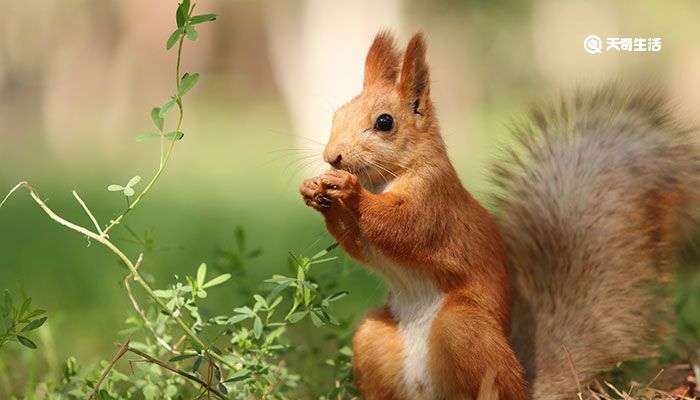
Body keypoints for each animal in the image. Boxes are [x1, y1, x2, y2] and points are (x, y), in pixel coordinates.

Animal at [298, 31, 696, 400]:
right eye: (337, 115)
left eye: (385, 122)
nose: (333, 157)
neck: (385, 180)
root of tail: (523, 385)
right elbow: (360, 244)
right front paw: (314, 190)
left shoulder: (435, 201)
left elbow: (404, 228)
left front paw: (349, 190)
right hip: (373, 337)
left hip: (464, 330)